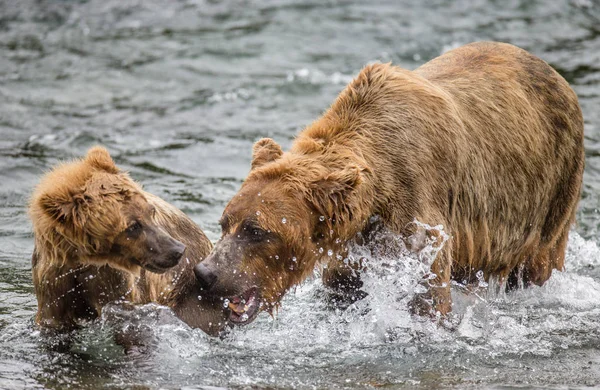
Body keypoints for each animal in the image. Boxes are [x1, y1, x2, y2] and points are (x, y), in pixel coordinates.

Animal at [28, 146, 225, 336]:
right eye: (133, 226)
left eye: (151, 211)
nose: (178, 250)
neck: (81, 263)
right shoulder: (53, 283)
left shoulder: (115, 284)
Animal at [195, 41, 584, 324]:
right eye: (225, 222)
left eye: (257, 230)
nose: (207, 272)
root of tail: (555, 73)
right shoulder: (352, 251)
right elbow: (343, 292)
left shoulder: (419, 221)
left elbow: (427, 296)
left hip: (553, 189)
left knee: (537, 263)